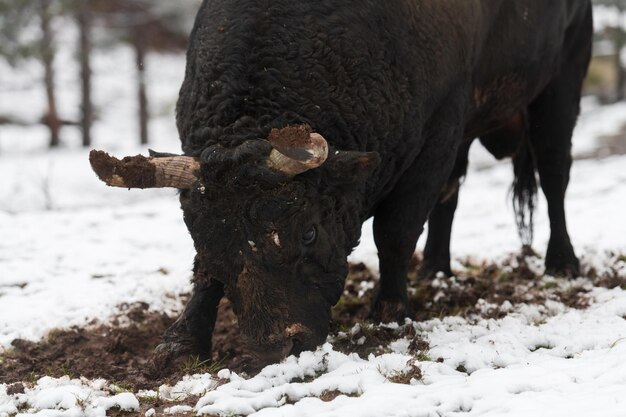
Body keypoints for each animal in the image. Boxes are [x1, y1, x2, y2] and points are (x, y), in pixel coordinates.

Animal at [89, 0, 588, 366]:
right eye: (202, 236)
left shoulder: (440, 127)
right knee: (452, 193)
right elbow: (205, 272)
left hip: (562, 76)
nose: (276, 347)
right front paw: (179, 342)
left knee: (554, 174)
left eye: (309, 231)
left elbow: (396, 232)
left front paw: (390, 312)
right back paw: (436, 270)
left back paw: (562, 262)